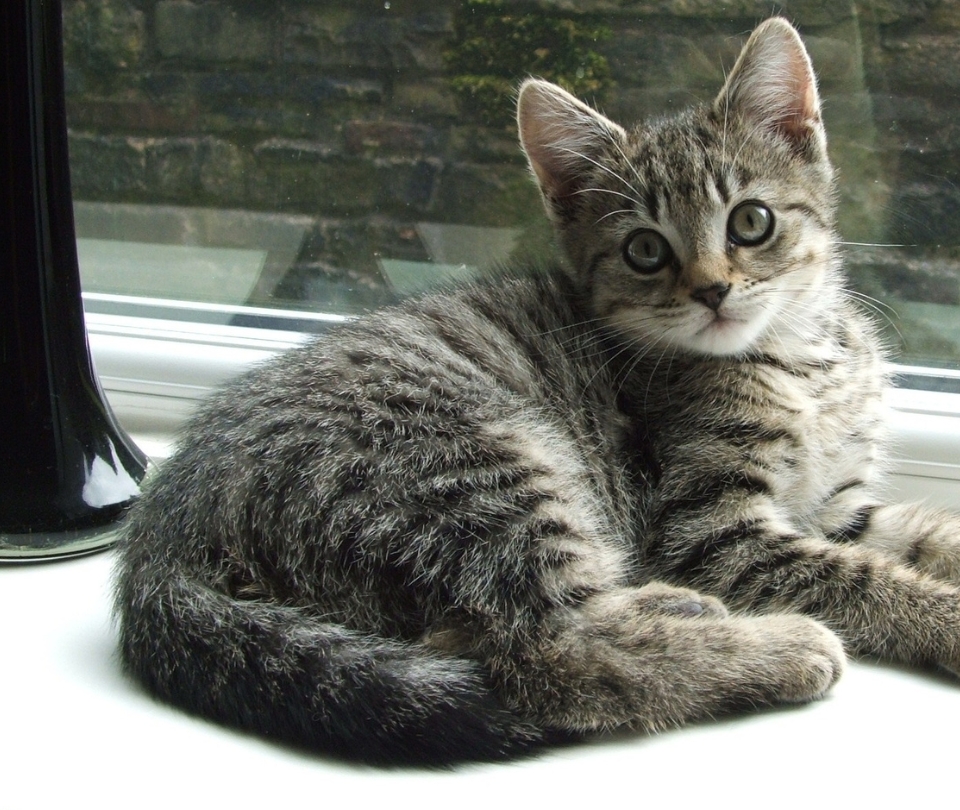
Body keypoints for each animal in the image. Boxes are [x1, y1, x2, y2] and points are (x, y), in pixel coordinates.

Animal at [112, 19, 960, 764]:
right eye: (645, 250)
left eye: (751, 222)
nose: (713, 290)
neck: (803, 359)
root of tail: (168, 518)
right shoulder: (706, 528)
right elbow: (851, 576)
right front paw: (943, 618)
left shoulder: (836, 507)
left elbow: (915, 535)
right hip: (479, 469)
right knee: (554, 654)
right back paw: (773, 647)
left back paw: (671, 606)